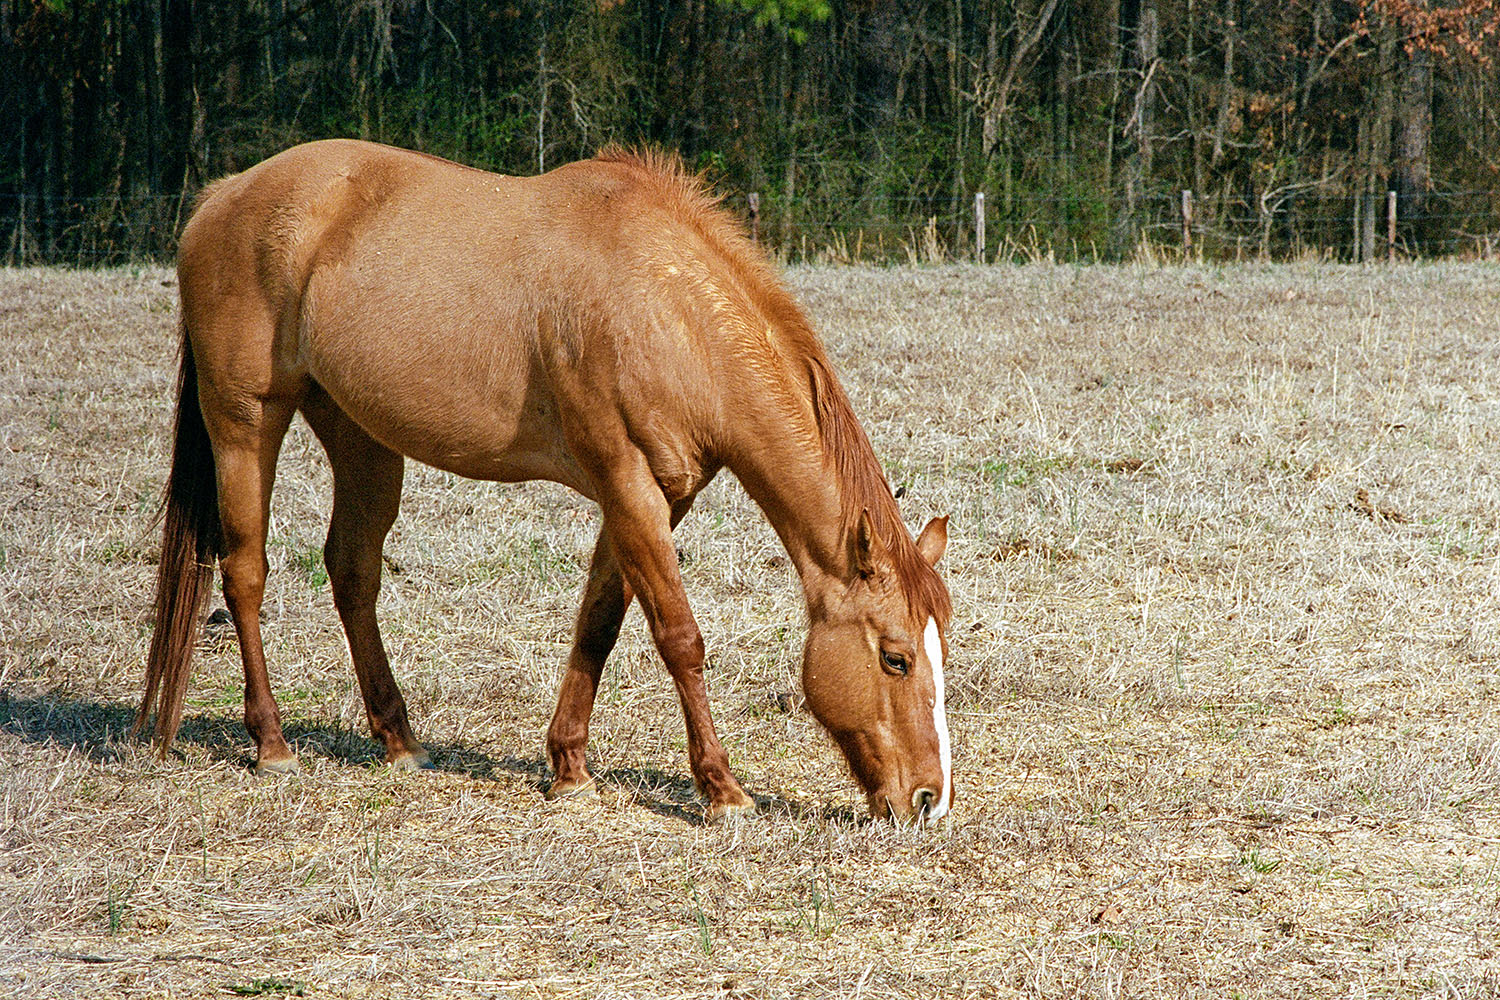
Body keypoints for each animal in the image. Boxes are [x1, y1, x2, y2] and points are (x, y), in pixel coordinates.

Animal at [135, 137, 954, 827]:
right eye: (896, 657)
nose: (928, 800)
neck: (666, 308)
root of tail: (221, 196)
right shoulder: (629, 487)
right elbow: (679, 637)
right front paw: (721, 789)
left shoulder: (657, 497)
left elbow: (600, 624)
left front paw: (569, 769)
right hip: (245, 424)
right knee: (245, 572)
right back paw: (272, 744)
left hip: (361, 438)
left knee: (352, 571)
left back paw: (400, 739)